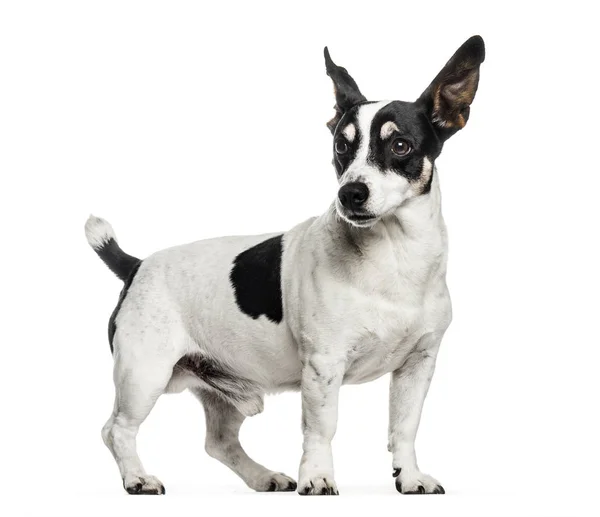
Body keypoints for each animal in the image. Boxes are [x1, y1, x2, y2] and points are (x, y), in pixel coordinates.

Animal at [86, 34, 486, 494]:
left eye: (400, 146)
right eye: (341, 146)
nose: (350, 193)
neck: (394, 253)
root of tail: (136, 266)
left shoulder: (418, 365)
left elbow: (404, 426)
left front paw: (410, 476)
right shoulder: (324, 365)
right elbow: (321, 428)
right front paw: (317, 477)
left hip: (221, 387)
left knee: (219, 442)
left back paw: (264, 477)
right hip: (143, 374)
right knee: (117, 429)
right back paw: (137, 477)